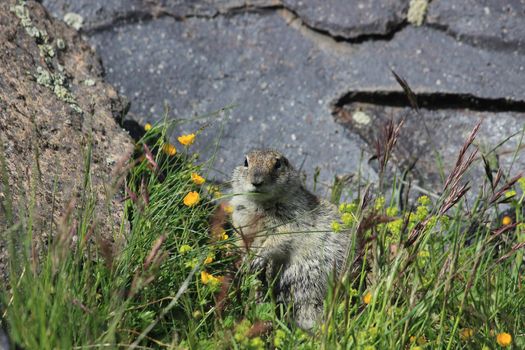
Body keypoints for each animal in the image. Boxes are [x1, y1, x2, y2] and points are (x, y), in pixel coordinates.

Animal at [231, 149, 350, 330]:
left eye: (278, 163)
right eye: (245, 162)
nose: (257, 182)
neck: (261, 205)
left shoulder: (291, 219)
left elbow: (279, 239)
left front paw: (258, 258)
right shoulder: (240, 220)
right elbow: (241, 239)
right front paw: (245, 259)